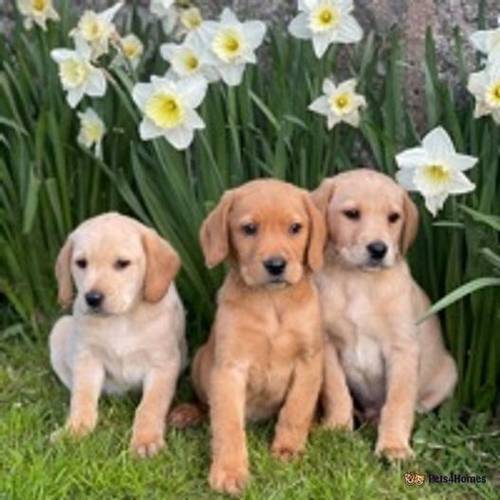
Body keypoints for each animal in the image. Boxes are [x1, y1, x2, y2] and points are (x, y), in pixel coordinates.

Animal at [48, 213, 187, 456]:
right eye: (81, 263)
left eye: (122, 264)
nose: (92, 298)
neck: (122, 319)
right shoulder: (87, 358)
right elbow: (82, 398)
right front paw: (74, 431)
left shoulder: (163, 364)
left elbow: (150, 406)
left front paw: (146, 440)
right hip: (60, 330)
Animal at [187, 181, 324, 496]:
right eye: (249, 228)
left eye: (295, 228)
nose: (275, 265)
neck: (272, 302)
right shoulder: (229, 369)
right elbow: (227, 425)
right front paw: (229, 471)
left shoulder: (309, 361)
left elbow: (296, 410)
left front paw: (288, 450)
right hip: (200, 360)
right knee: (203, 404)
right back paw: (185, 413)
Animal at [312, 171, 458, 460]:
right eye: (352, 213)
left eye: (393, 217)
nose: (379, 249)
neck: (358, 280)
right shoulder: (327, 343)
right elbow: (337, 391)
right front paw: (336, 428)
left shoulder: (402, 349)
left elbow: (398, 402)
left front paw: (393, 446)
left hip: (449, 373)